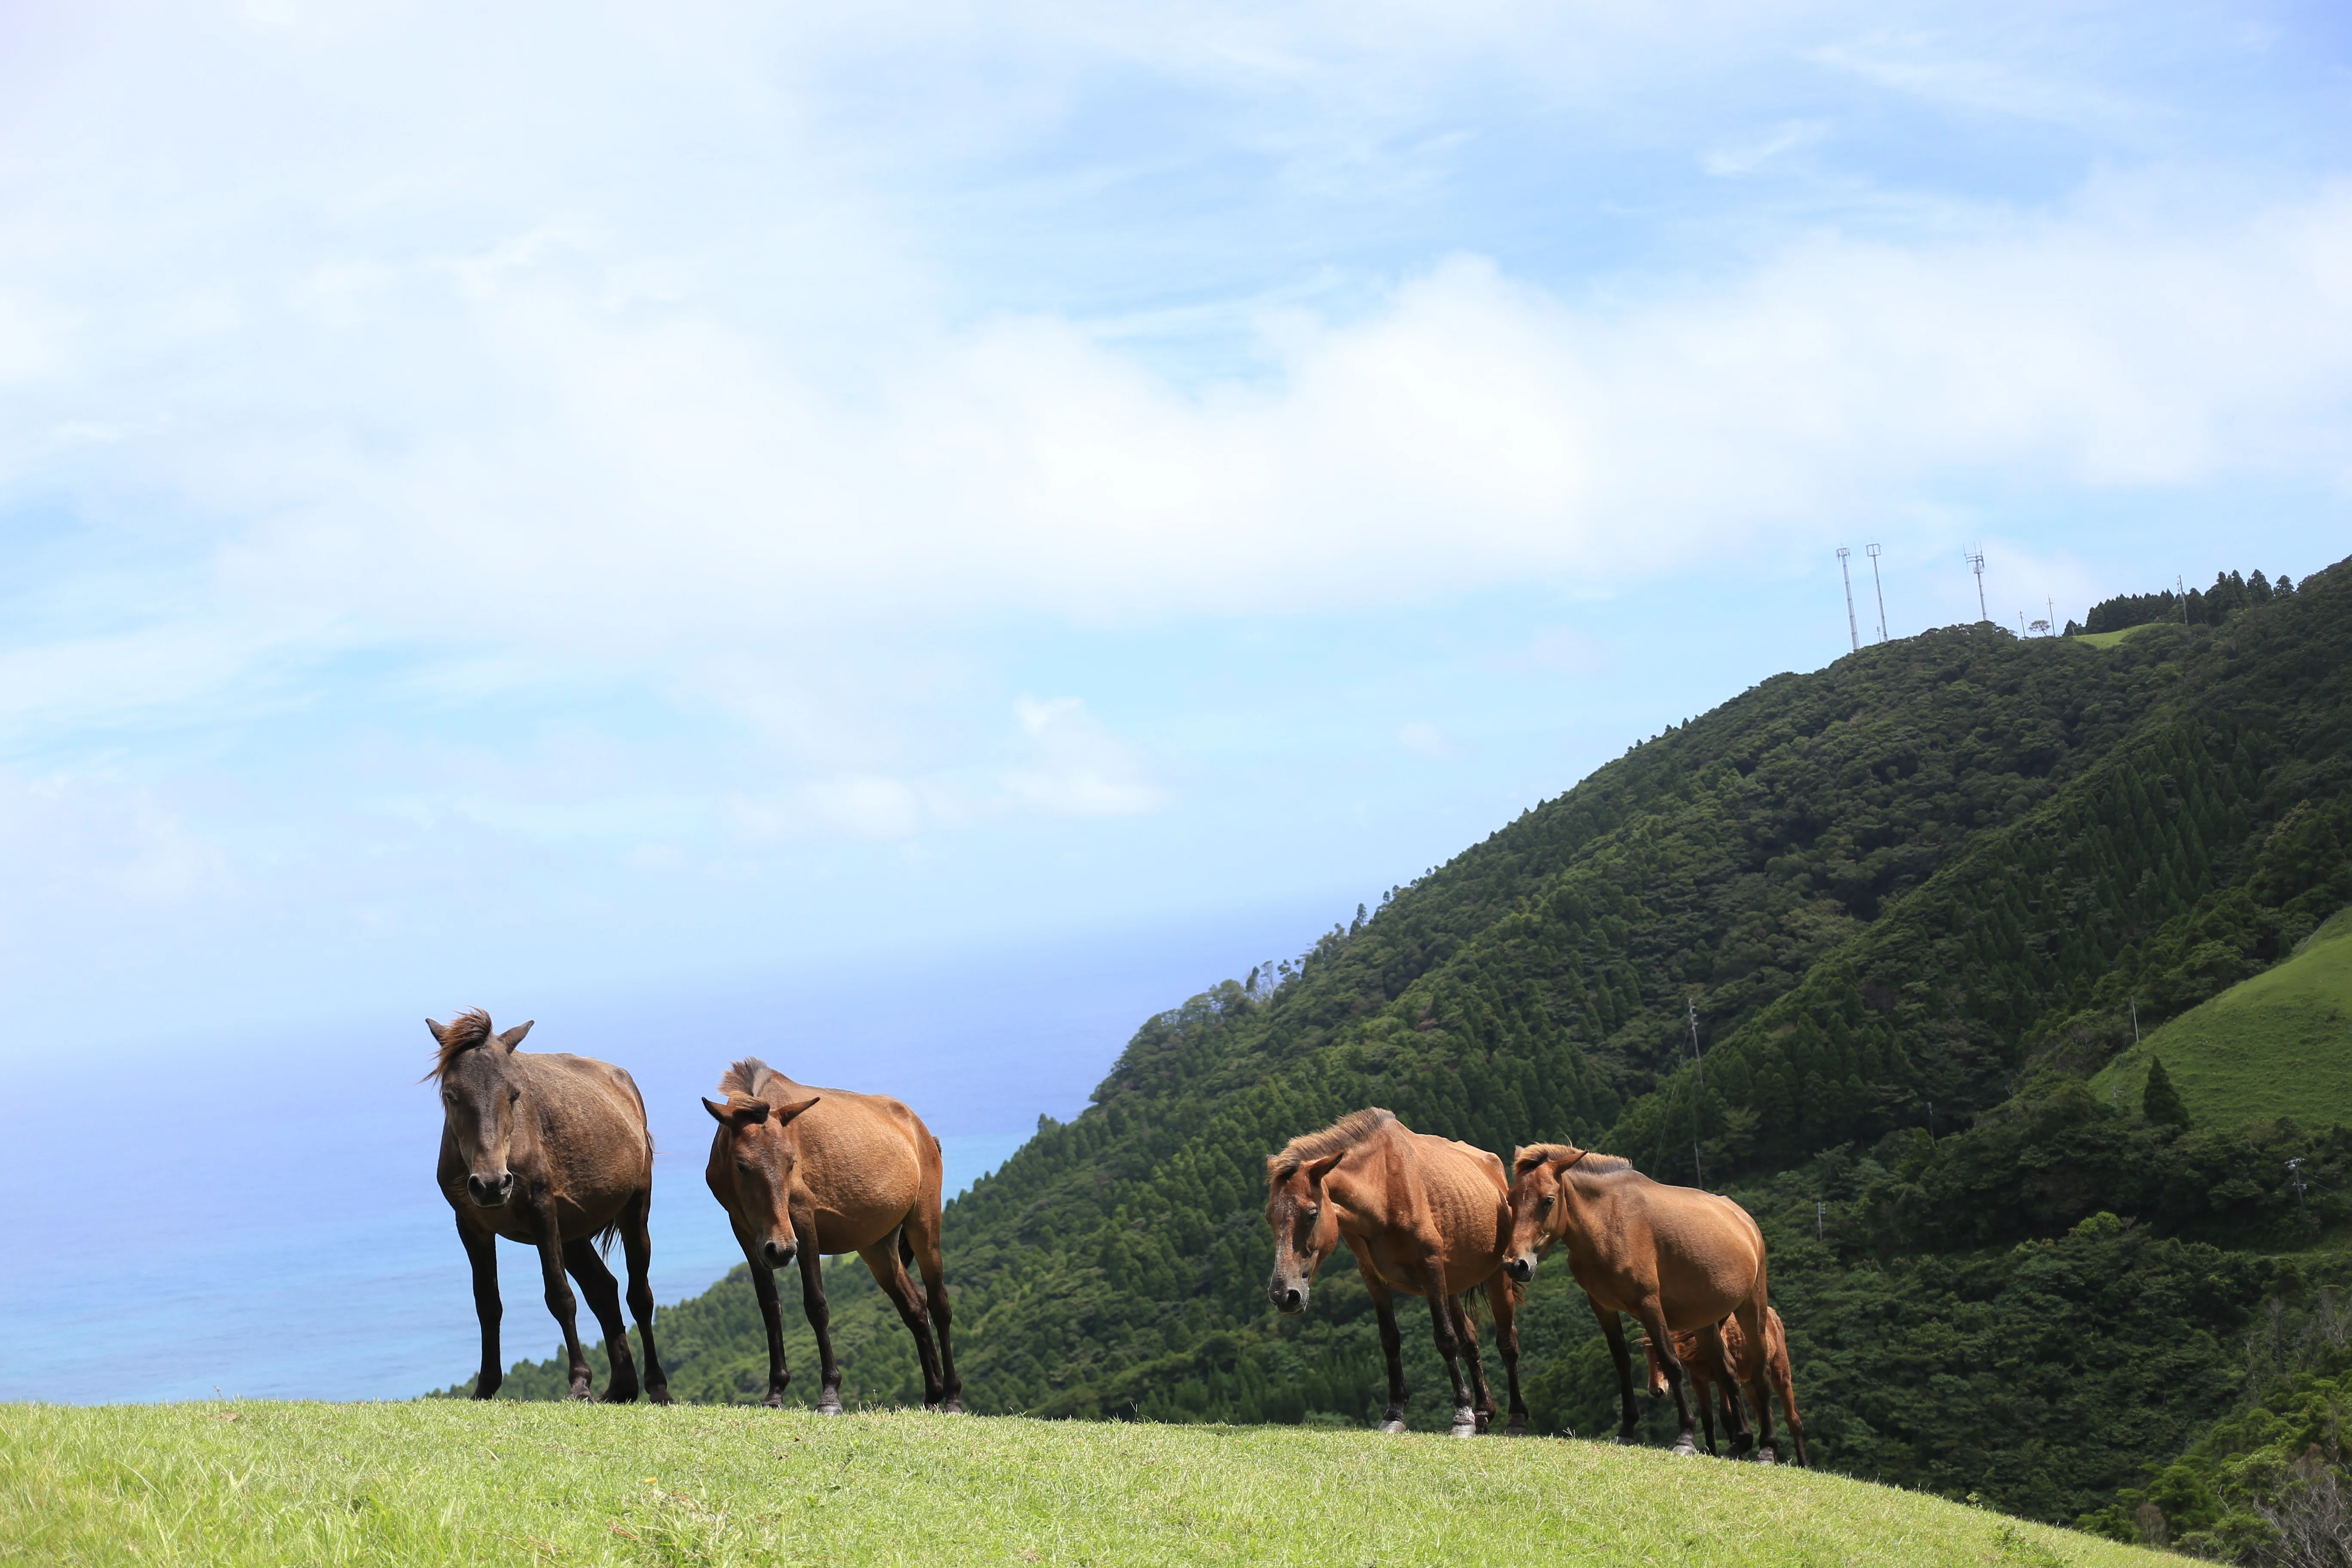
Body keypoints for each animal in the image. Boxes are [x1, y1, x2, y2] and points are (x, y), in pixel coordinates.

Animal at [427, 1009, 669, 1403]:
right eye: (451, 1095)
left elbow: (560, 1296)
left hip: (635, 1209)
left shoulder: (542, 1213)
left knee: (640, 1296)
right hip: (572, 1234)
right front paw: (485, 1387)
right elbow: (487, 1304)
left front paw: (580, 1382)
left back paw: (657, 1386)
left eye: (514, 1094)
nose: (492, 1184)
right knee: (604, 1290)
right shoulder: (471, 1226)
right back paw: (621, 1388)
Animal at [703, 1057, 960, 1413]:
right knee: (915, 1307)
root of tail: (922, 1133)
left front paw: (830, 1395)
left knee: (939, 1305)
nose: (781, 1249)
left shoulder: (802, 1220)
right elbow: (770, 1307)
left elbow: (817, 1304)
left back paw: (952, 1397)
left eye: (791, 1163)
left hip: (925, 1224)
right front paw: (775, 1391)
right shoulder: (745, 1231)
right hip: (878, 1247)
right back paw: (933, 1395)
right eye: (742, 1165)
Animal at [1264, 1108, 1527, 1437]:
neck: (1384, 1190)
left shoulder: (1430, 1268)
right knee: (1470, 1341)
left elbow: (1445, 1339)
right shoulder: (1373, 1278)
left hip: (1496, 1277)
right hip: (1452, 1284)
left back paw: (1516, 1418)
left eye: (1312, 1215)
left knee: (1508, 1342)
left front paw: (1461, 1417)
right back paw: (1482, 1411)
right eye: (1269, 1217)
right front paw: (1395, 1414)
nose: (1284, 1295)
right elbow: (1391, 1340)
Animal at [1503, 1142, 1769, 1457]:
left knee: (1761, 1377)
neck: (1608, 1221)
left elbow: (1671, 1363)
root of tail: (1745, 1221)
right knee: (1728, 1371)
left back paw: (1767, 1448)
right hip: (1707, 1324)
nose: (1516, 1265)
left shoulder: (1649, 1305)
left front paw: (1685, 1437)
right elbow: (1622, 1363)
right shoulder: (1603, 1307)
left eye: (1548, 1201)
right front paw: (1627, 1429)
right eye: (1510, 1199)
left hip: (1753, 1309)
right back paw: (1740, 1442)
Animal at [1641, 1306, 1808, 1465]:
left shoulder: (1721, 1379)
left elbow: (1727, 1416)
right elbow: (1708, 1418)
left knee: (1793, 1420)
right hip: (1749, 1384)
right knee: (1766, 1415)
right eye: (1646, 1353)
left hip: (1781, 1376)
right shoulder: (1698, 1380)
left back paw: (1802, 1465)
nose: (1656, 1390)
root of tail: (1773, 1314)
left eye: (1658, 1355)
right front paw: (1712, 1453)